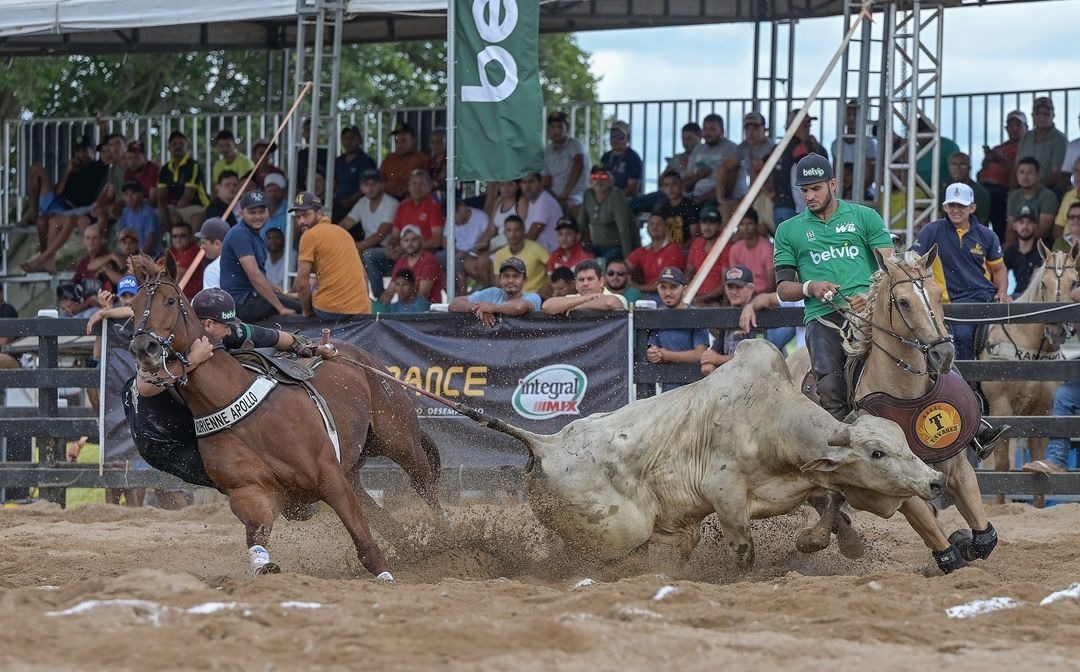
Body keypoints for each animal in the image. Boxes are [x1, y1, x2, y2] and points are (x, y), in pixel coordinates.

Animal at [127, 254, 442, 583]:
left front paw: (383, 573)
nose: (144, 348)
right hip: (354, 468)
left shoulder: (328, 476)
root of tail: (359, 356)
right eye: (133, 306)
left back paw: (448, 540)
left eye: (170, 300)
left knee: (425, 487)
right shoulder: (251, 493)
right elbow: (256, 533)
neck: (231, 404)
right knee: (380, 512)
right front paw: (263, 565)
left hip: (399, 441)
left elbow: (361, 534)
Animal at [498, 341, 946, 570]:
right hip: (619, 531)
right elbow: (745, 552)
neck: (769, 419)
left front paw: (820, 540)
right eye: (877, 452)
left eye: (901, 441)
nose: (935, 480)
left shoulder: (801, 481)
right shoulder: (725, 496)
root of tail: (544, 444)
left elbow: (833, 497)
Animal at [799, 247, 997, 574]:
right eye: (903, 302)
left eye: (937, 295)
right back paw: (835, 538)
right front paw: (951, 551)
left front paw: (963, 539)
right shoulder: (900, 485)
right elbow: (944, 549)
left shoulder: (957, 470)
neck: (905, 392)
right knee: (824, 498)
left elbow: (984, 539)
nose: (943, 353)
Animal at [984, 239, 1075, 503]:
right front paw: (1000, 506)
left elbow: (1037, 464)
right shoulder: (1001, 408)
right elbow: (1001, 467)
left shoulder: (1042, 413)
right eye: (1043, 284)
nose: (1056, 330)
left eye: (1074, 282)